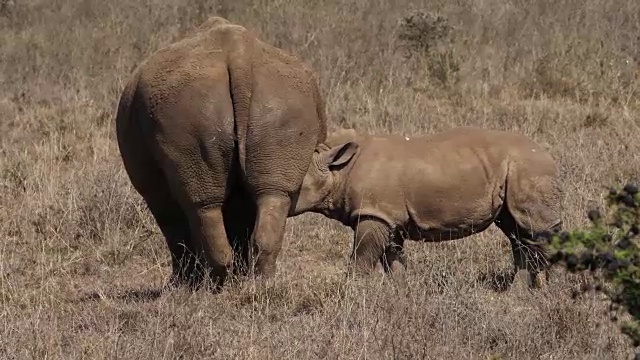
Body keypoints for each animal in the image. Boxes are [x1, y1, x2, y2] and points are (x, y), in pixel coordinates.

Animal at [292, 128, 564, 288]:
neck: (337, 168)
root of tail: (547, 154)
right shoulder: (388, 218)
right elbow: (393, 261)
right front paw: (400, 295)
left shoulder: (374, 213)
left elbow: (361, 259)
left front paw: (351, 296)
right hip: (518, 171)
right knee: (518, 233)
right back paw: (516, 294)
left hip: (530, 169)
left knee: (537, 231)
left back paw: (555, 293)